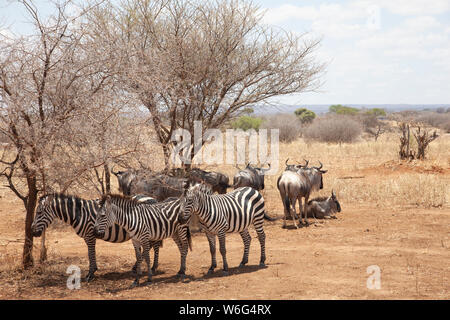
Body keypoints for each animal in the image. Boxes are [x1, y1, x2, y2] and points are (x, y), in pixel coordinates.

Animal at [29, 192, 161, 280]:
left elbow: (91, 253)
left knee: (154, 246)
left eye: (39, 212)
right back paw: (138, 267)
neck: (79, 214)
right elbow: (90, 253)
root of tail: (152, 198)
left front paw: (90, 274)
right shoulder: (88, 237)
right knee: (151, 246)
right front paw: (92, 271)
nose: (32, 232)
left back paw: (153, 267)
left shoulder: (90, 236)